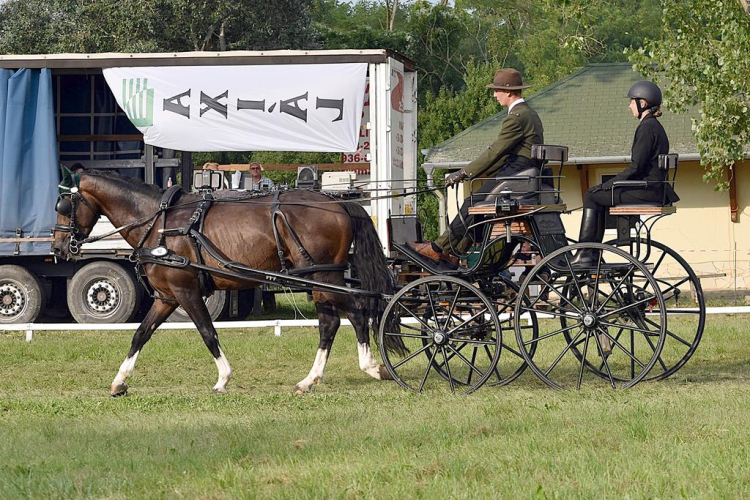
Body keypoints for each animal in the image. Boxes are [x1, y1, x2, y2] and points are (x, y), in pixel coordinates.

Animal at [53, 170, 406, 396]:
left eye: (63, 205)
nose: (58, 248)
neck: (159, 223)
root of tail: (340, 202)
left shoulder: (186, 291)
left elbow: (208, 332)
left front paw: (223, 379)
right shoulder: (166, 296)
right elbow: (140, 334)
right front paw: (119, 382)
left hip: (323, 276)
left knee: (354, 311)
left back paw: (371, 367)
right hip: (321, 279)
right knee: (333, 321)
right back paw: (311, 379)